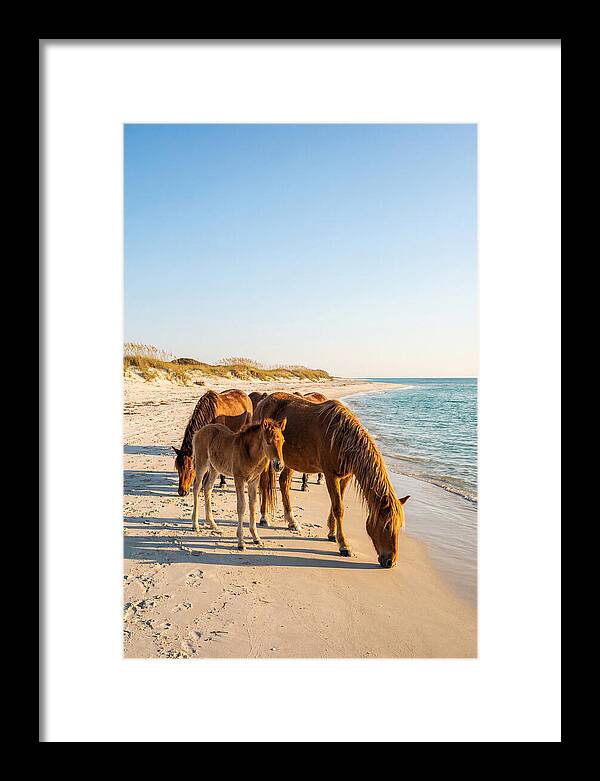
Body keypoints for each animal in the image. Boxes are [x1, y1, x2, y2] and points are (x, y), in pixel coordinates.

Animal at [191, 418, 286, 550]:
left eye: (283, 441)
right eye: (268, 441)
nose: (279, 465)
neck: (250, 454)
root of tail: (199, 431)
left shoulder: (253, 480)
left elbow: (253, 505)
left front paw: (256, 537)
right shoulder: (239, 479)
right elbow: (241, 506)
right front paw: (241, 542)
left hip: (215, 468)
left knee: (207, 488)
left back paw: (212, 523)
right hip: (201, 464)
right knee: (196, 487)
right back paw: (195, 525)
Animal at [254, 393, 409, 568]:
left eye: (399, 526)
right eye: (387, 525)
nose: (391, 562)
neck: (342, 438)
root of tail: (264, 401)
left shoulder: (345, 477)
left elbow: (336, 504)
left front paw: (332, 533)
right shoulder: (330, 475)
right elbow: (338, 508)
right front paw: (344, 545)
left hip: (290, 461)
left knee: (284, 482)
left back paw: (292, 521)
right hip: (267, 458)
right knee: (264, 483)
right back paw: (264, 517)